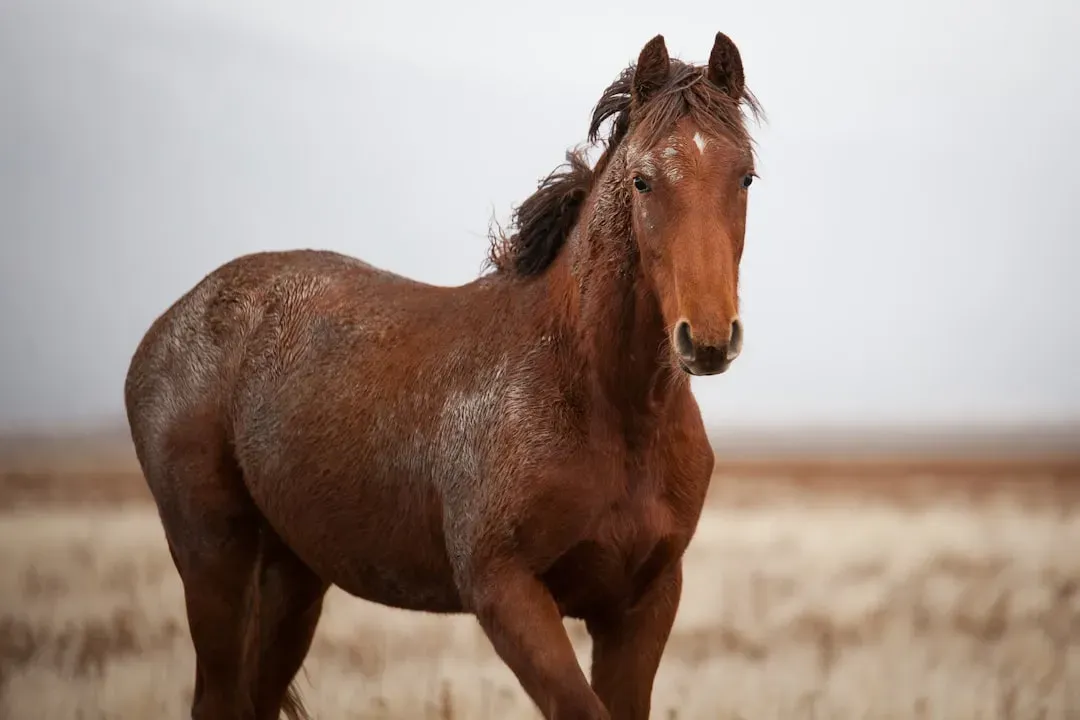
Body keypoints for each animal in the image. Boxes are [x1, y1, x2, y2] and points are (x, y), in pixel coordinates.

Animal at [124, 30, 762, 720]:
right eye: (643, 181)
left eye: (746, 175)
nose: (707, 338)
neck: (605, 407)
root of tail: (167, 327)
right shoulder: (505, 593)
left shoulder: (642, 603)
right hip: (213, 558)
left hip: (292, 578)